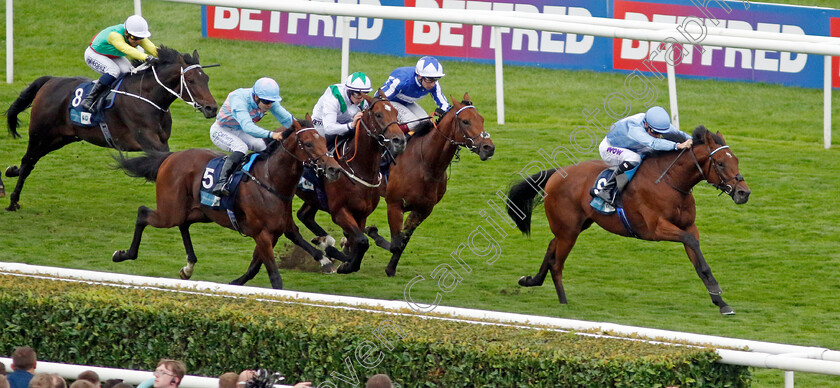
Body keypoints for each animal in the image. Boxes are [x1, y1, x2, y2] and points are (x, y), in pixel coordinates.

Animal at [5, 46, 217, 211]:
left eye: (206, 78)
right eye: (191, 80)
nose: (212, 108)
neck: (148, 97)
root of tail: (50, 81)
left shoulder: (162, 141)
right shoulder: (149, 141)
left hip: (61, 138)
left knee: (30, 161)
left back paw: (11, 171)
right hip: (40, 134)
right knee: (28, 161)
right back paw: (13, 201)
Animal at [113, 118, 342, 288]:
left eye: (324, 141)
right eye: (308, 143)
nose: (334, 169)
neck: (270, 182)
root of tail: (170, 157)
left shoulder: (280, 229)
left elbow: (261, 262)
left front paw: (327, 260)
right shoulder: (262, 234)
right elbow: (274, 277)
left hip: (199, 212)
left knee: (183, 224)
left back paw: (188, 267)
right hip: (170, 211)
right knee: (144, 213)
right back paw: (123, 254)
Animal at [296, 91, 406, 272]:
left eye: (396, 113)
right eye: (378, 114)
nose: (400, 140)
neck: (360, 169)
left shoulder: (362, 214)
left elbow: (358, 241)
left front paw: (346, 257)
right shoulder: (339, 211)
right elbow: (362, 241)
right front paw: (347, 265)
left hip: (314, 198)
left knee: (304, 216)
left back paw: (325, 243)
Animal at [366, 93, 492, 276]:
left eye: (481, 119)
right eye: (465, 121)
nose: (489, 147)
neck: (426, 164)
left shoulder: (423, 210)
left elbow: (402, 242)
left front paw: (390, 268)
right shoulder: (394, 204)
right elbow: (396, 242)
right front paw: (371, 233)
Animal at [508, 127, 752, 316]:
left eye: (736, 160)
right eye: (720, 163)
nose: (744, 193)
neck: (670, 181)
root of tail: (558, 172)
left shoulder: (688, 226)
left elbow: (700, 262)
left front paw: (721, 303)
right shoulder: (657, 229)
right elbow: (691, 242)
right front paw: (717, 291)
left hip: (573, 226)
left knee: (551, 247)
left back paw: (530, 280)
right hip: (569, 231)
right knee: (557, 263)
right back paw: (563, 301)